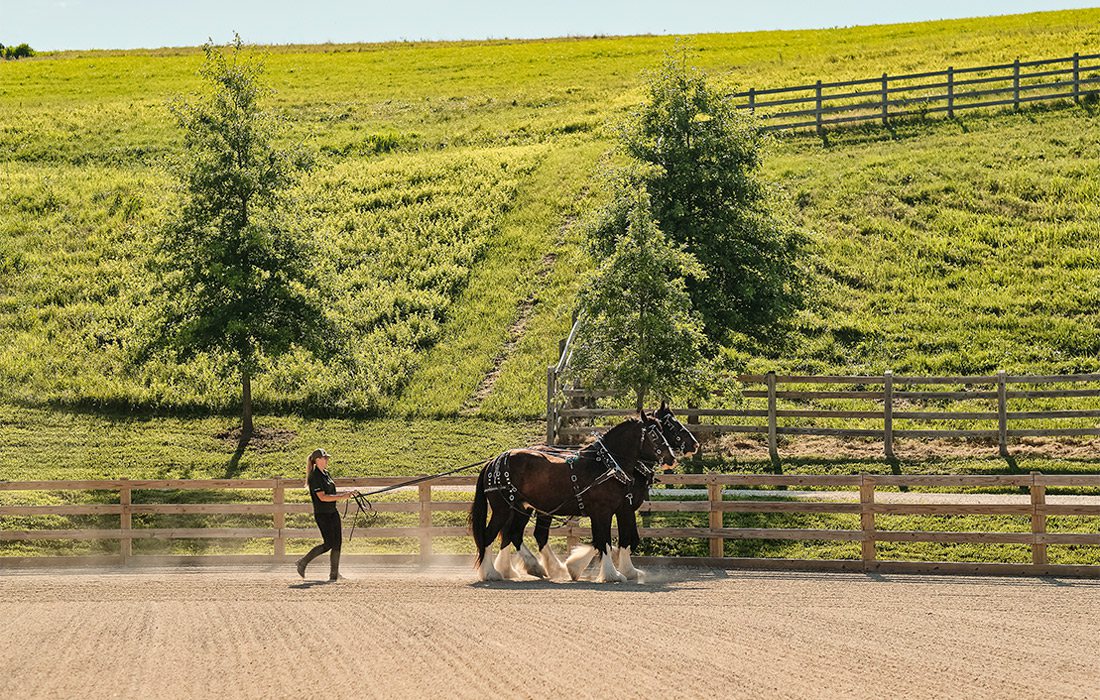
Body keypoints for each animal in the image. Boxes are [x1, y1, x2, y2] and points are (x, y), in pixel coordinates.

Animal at [468, 413, 673, 581]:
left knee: (515, 534)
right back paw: (492, 573)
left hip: (522, 508)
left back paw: (533, 567)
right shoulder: (605, 511)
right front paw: (612, 574)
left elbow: (616, 540)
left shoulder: (621, 510)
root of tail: (494, 461)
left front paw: (623, 571)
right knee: (490, 536)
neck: (607, 466)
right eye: (655, 435)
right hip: (503, 509)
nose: (671, 457)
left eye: (664, 430)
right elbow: (605, 541)